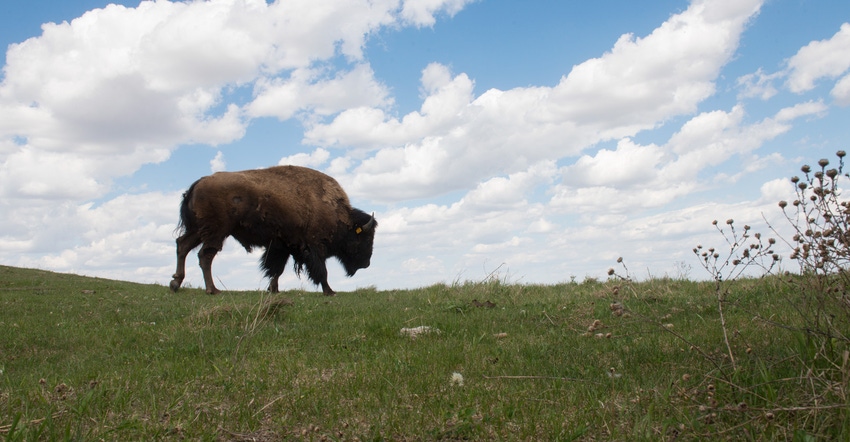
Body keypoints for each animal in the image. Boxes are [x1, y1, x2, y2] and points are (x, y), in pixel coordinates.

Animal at [169, 166, 374, 296]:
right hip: (216, 233)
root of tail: (198, 183)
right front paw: (330, 291)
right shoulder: (314, 247)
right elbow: (321, 271)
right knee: (205, 256)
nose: (366, 264)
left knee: (183, 245)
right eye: (364, 238)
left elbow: (276, 269)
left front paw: (273, 290)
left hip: (198, 230)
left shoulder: (282, 246)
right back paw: (212, 290)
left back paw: (175, 283)